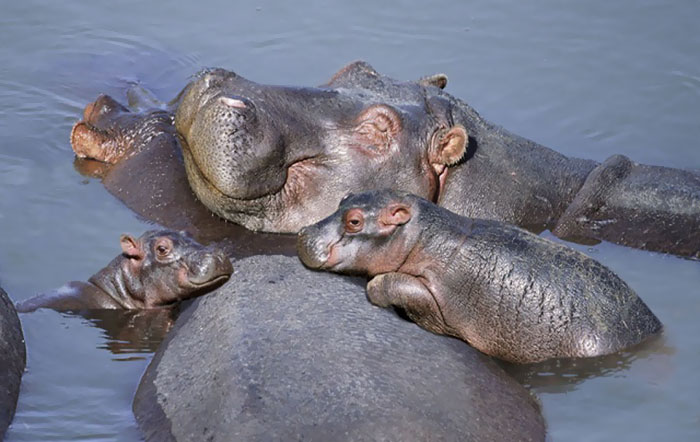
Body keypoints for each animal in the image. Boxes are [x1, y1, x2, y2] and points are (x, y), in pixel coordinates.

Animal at [298, 189, 664, 362]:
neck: (421, 237)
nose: (303, 234)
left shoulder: (438, 298)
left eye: (354, 221)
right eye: (344, 197)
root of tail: (653, 326)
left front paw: (375, 288)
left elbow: (397, 284)